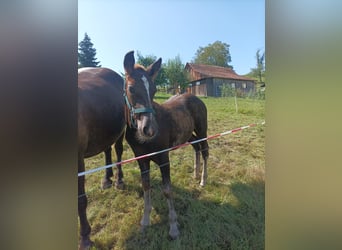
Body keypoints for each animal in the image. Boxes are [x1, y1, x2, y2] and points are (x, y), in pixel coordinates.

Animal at [123, 51, 208, 240]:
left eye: (154, 90)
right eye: (131, 88)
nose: (149, 129)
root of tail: (195, 97)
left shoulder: (163, 157)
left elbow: (167, 190)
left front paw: (174, 228)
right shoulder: (141, 159)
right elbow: (146, 186)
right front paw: (145, 222)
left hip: (202, 130)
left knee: (205, 150)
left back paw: (203, 179)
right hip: (188, 134)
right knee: (196, 147)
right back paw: (195, 173)